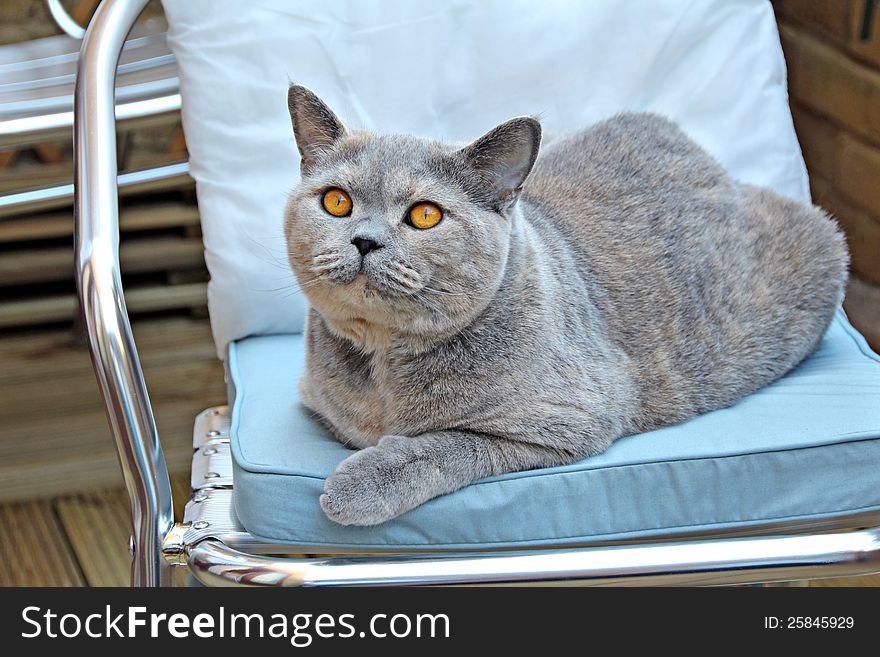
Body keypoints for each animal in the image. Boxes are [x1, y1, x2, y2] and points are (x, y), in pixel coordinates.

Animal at [282, 84, 844, 524]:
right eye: (337, 202)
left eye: (424, 215)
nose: (364, 240)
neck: (383, 362)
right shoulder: (315, 397)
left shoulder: (567, 422)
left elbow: (449, 443)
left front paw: (359, 485)